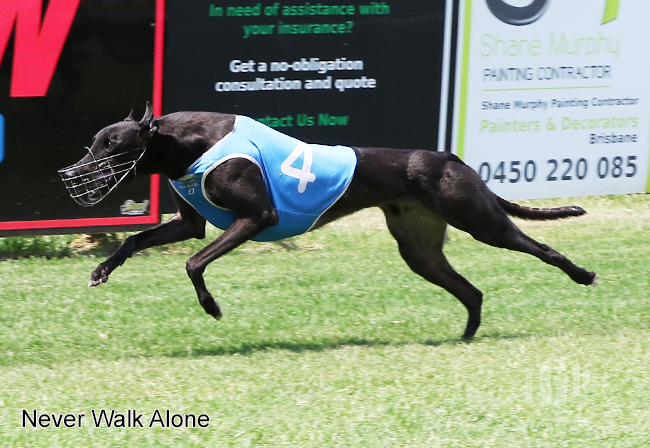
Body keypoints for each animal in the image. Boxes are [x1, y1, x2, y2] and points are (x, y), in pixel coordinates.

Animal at [59, 102, 597, 339]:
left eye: (110, 144)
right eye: (94, 142)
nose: (73, 173)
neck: (186, 142)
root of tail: (450, 157)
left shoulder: (257, 217)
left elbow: (193, 262)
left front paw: (211, 307)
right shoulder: (190, 223)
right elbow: (135, 241)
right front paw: (101, 270)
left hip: (481, 222)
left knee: (541, 248)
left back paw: (583, 273)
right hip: (420, 251)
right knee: (472, 291)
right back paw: (464, 337)